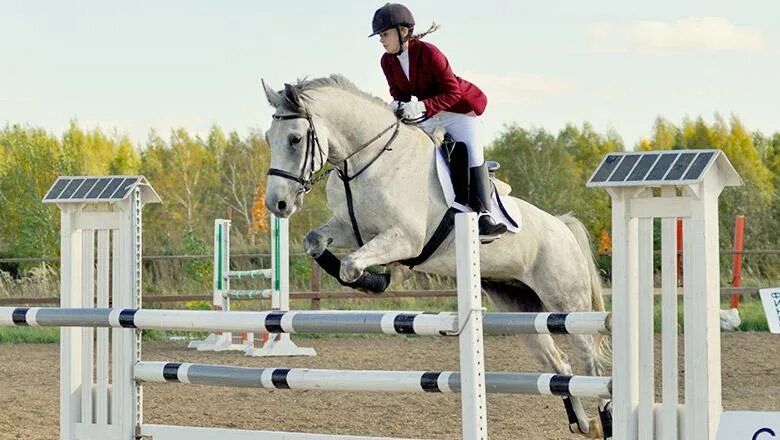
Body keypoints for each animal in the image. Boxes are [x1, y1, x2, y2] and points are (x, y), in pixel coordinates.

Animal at [262, 75, 608, 436]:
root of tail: (562, 226)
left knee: (591, 363)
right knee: (558, 363)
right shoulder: (350, 228)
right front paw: (378, 277)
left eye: (295, 139)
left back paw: (604, 420)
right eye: (268, 138)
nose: (277, 204)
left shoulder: (406, 238)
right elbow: (316, 242)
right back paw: (583, 424)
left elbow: (350, 265)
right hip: (518, 304)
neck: (370, 160)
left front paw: (378, 279)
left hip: (566, 302)